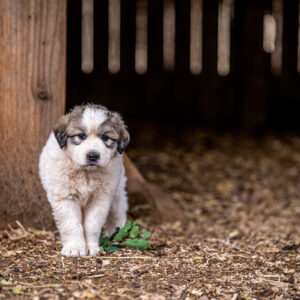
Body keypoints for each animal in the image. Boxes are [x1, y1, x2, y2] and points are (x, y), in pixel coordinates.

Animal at [39, 104, 129, 256]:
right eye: (81, 136)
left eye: (105, 137)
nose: (93, 156)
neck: (86, 173)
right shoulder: (65, 197)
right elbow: (71, 224)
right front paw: (75, 248)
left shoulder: (101, 198)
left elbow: (92, 224)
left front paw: (91, 247)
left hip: (117, 189)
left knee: (118, 210)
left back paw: (118, 232)